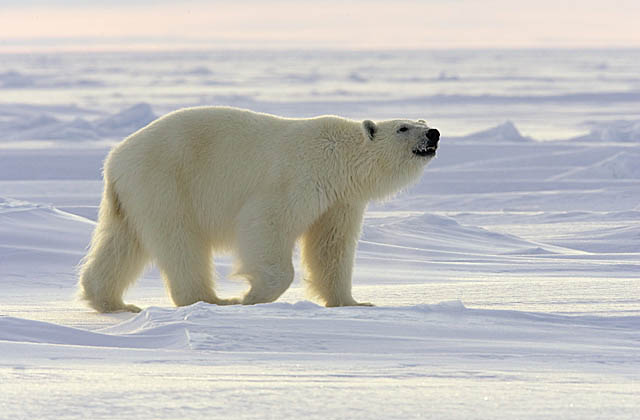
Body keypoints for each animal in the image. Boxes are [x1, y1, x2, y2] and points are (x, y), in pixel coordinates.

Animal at [77, 107, 440, 312]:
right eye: (403, 128)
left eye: (420, 121)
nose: (434, 133)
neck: (336, 156)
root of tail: (114, 160)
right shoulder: (296, 178)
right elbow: (266, 223)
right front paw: (251, 296)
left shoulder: (339, 202)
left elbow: (331, 247)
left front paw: (353, 302)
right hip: (166, 182)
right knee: (180, 241)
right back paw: (211, 299)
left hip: (132, 197)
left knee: (122, 243)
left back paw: (113, 302)